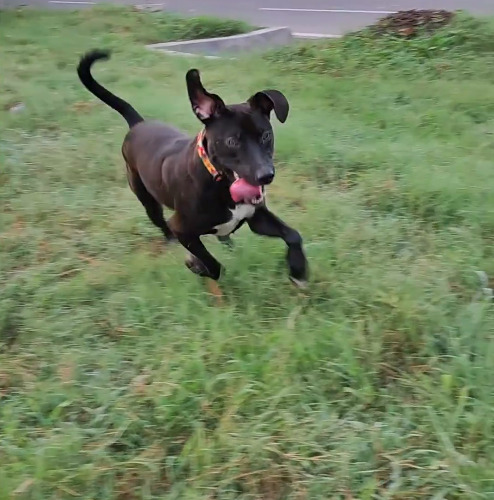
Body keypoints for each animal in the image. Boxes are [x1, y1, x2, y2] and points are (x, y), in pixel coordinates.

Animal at [77, 50, 308, 288]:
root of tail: (138, 124)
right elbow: (214, 266)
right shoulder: (183, 230)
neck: (219, 182)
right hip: (147, 200)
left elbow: (293, 235)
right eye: (232, 141)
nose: (266, 176)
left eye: (266, 135)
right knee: (162, 224)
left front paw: (298, 271)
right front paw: (197, 265)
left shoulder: (256, 217)